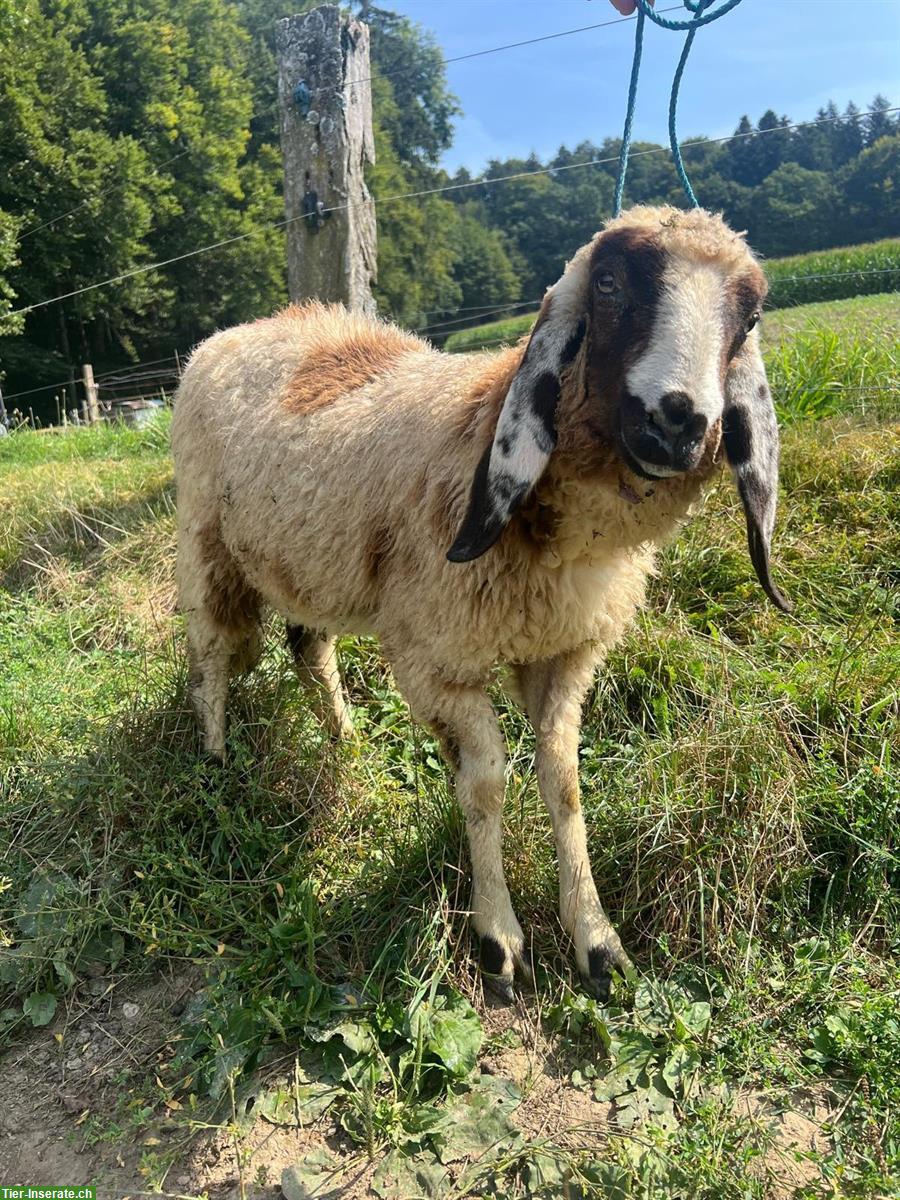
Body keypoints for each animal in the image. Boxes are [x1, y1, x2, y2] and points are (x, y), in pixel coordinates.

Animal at [170, 206, 787, 1003]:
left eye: (750, 316)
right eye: (611, 283)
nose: (677, 421)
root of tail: (249, 327)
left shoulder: (565, 653)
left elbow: (564, 780)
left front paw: (596, 940)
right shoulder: (436, 657)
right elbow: (486, 781)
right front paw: (499, 941)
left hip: (309, 559)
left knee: (307, 649)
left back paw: (343, 742)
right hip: (206, 543)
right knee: (210, 658)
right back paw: (217, 764)